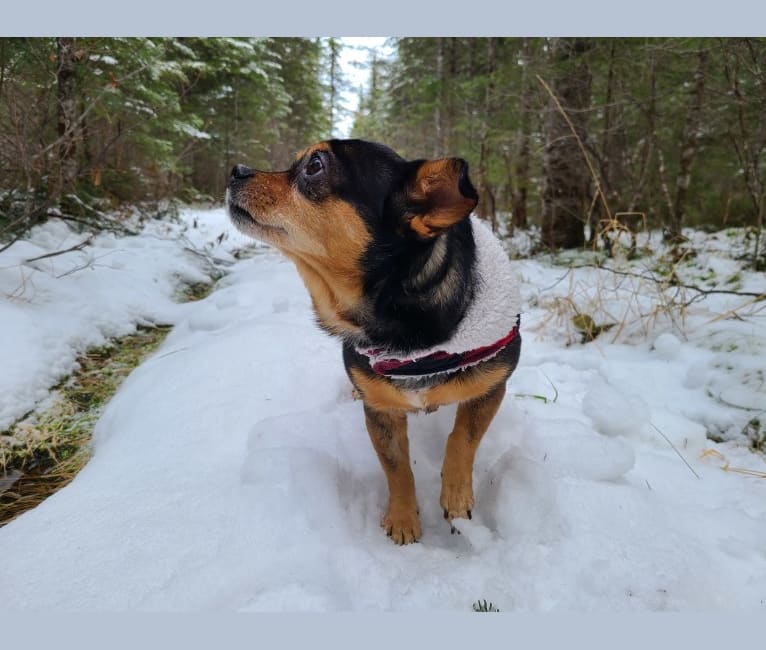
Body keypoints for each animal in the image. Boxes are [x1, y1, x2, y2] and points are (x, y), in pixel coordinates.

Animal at [228, 139, 520, 544]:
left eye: (315, 165)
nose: (235, 170)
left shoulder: (490, 388)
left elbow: (462, 439)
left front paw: (456, 498)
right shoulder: (380, 410)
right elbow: (397, 468)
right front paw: (402, 519)